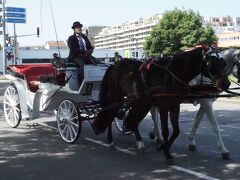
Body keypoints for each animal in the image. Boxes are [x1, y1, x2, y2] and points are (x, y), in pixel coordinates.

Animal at [91, 47, 230, 162]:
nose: (226, 83)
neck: (172, 74)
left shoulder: (175, 105)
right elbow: (166, 130)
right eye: (210, 63)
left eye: (223, 63)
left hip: (137, 100)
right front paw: (167, 153)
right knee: (111, 115)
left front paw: (163, 147)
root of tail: (114, 65)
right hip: (117, 96)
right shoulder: (164, 105)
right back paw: (112, 141)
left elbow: (177, 130)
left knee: (133, 118)